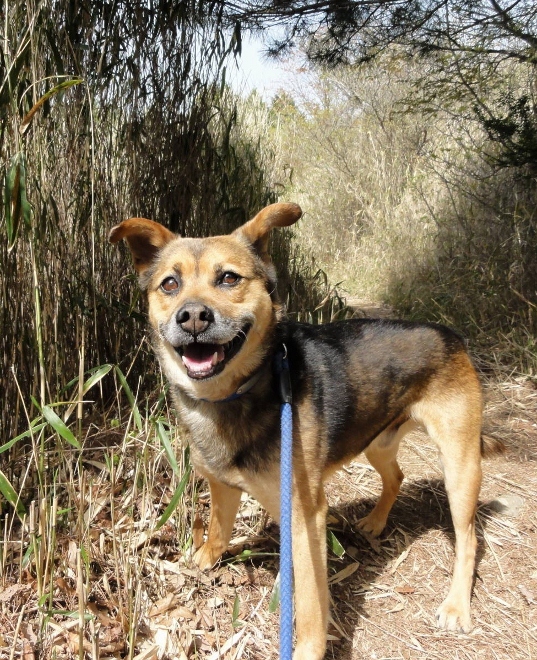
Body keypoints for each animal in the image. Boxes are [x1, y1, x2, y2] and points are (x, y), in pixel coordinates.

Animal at [110, 204, 486, 656]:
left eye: (229, 278)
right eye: (170, 283)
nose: (193, 316)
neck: (237, 394)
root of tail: (453, 336)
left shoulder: (304, 516)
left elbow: (309, 598)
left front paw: (307, 647)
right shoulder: (223, 485)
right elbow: (218, 527)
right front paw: (203, 560)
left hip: (460, 466)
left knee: (469, 538)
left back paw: (456, 606)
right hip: (377, 442)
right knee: (396, 475)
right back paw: (376, 522)